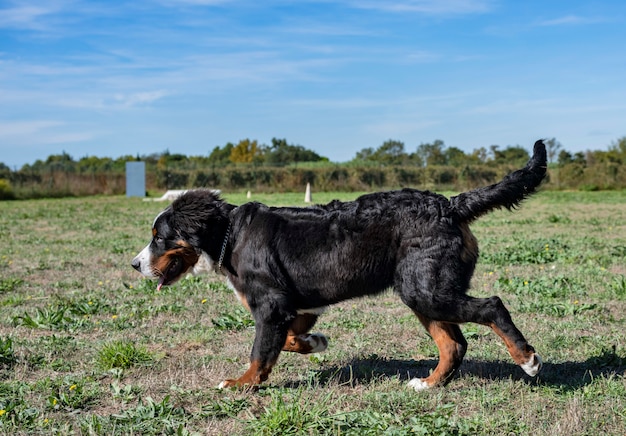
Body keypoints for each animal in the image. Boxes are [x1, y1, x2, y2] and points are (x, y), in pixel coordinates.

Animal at [133, 139, 544, 388]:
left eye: (158, 237)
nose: (136, 264)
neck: (230, 234)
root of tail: (449, 204)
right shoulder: (297, 306)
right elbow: (289, 339)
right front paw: (314, 342)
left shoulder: (270, 306)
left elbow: (260, 351)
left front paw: (241, 383)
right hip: (422, 292)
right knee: (453, 345)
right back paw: (428, 384)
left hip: (427, 290)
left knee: (491, 307)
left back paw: (527, 359)